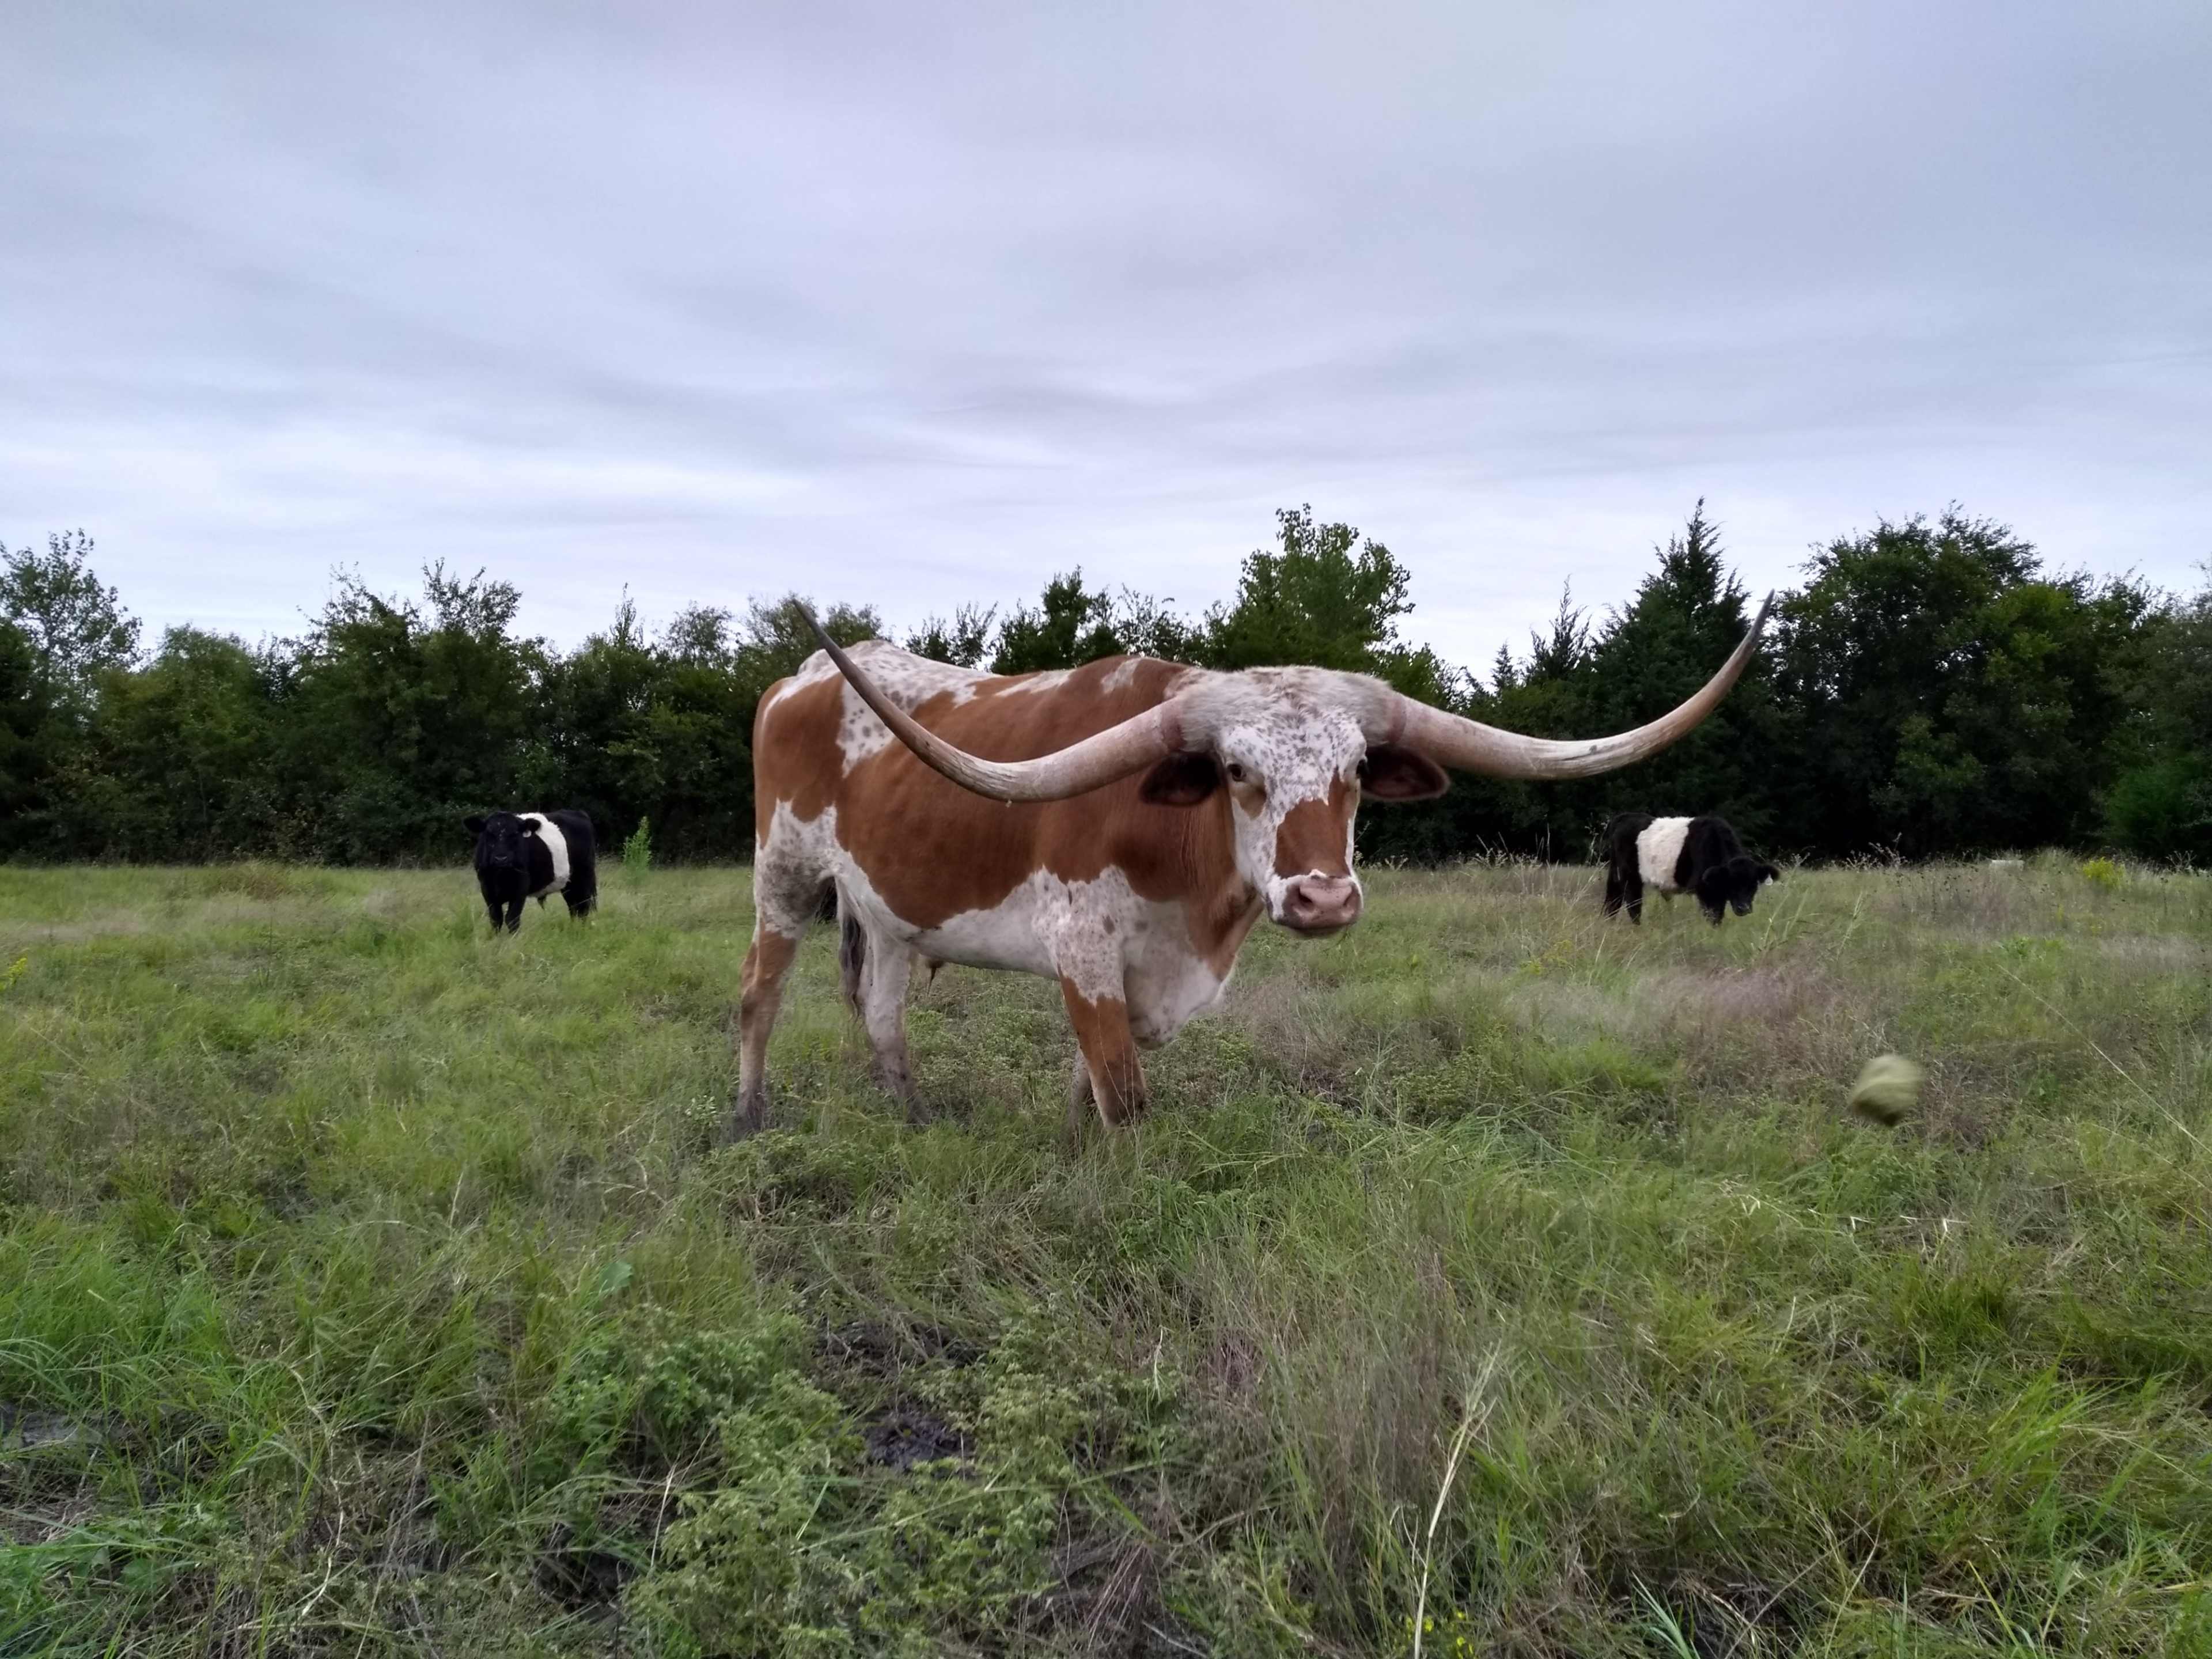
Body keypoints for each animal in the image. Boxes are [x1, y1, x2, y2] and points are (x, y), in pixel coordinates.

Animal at [466, 809, 598, 932]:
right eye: (489, 834)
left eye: (515, 834)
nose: (501, 859)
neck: (501, 875)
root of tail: (578, 813)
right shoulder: (487, 888)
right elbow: (496, 919)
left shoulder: (521, 887)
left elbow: (512, 918)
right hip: (569, 884)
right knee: (574, 906)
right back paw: (574, 927)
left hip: (584, 875)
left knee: (584, 906)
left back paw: (581, 929)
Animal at [1600, 812, 1779, 926]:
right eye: (1731, 883)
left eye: (1753, 885)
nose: (1744, 908)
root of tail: (1625, 817)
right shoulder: (1705, 889)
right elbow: (1714, 916)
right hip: (1630, 876)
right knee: (1633, 903)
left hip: (1616, 872)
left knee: (1613, 898)